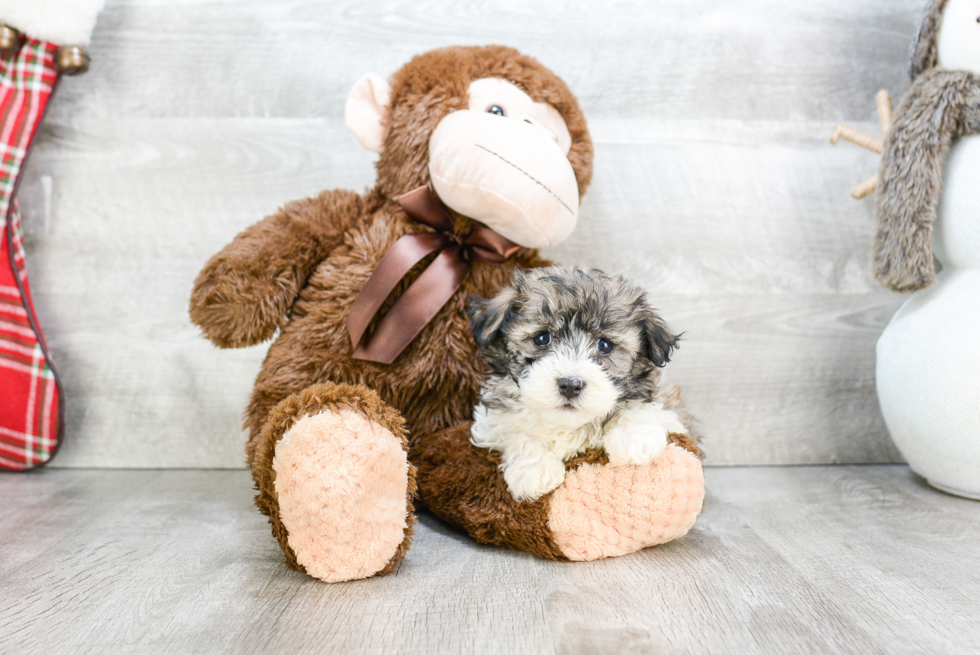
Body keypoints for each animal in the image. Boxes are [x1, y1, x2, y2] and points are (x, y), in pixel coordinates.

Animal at [468, 266, 688, 502]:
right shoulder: (491, 423)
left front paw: (634, 437)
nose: (570, 385)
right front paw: (533, 468)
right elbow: (512, 430)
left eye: (604, 345)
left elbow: (641, 405)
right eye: (542, 338)